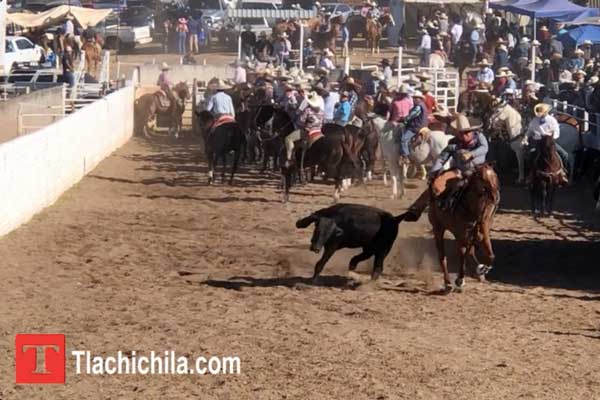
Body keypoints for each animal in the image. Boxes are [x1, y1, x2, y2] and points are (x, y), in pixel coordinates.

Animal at [428, 164, 500, 292]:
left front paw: (482, 270)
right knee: (442, 256)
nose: (495, 196)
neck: (471, 208)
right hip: (438, 229)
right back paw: (448, 283)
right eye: (482, 178)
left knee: (468, 252)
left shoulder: (483, 232)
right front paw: (460, 280)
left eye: (495, 175)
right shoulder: (461, 235)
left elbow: (490, 255)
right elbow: (462, 255)